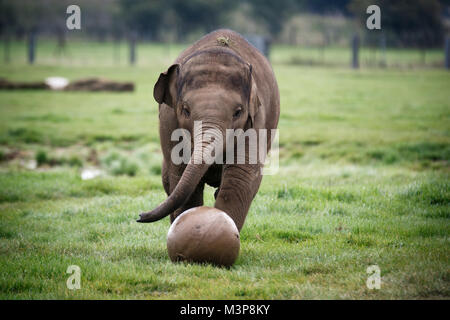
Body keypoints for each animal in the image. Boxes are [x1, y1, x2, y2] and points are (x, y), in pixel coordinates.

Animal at [135, 28, 280, 231]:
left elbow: (238, 179)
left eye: (238, 112)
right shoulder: (169, 120)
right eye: (186, 110)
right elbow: (182, 176)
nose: (139, 215)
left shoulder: (256, 120)